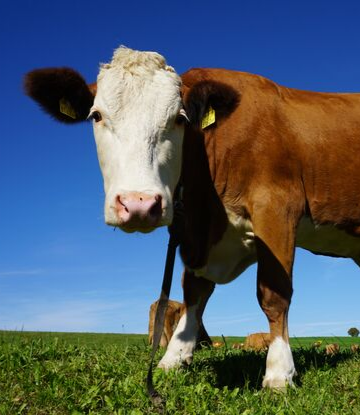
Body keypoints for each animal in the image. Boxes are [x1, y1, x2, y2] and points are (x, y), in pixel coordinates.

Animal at [23, 47, 360, 392]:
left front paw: (280, 372)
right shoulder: (195, 235)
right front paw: (173, 358)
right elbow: (193, 293)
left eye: (179, 119)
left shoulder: (277, 207)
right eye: (97, 116)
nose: (139, 204)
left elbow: (273, 293)